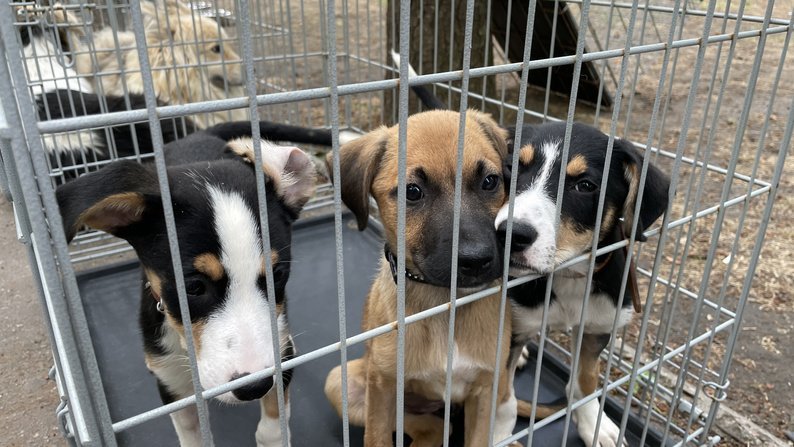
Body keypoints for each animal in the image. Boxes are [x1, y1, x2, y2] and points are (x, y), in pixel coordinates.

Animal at [56, 123, 322, 446]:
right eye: (193, 287)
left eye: (277, 274)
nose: (254, 386)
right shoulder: (169, 379)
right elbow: (192, 433)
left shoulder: (281, 354)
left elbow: (273, 423)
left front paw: (272, 435)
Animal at [323, 109, 523, 446]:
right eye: (412, 192)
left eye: (490, 181)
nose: (476, 260)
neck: (444, 303)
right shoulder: (382, 387)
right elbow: (377, 438)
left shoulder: (485, 389)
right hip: (342, 381)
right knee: (427, 428)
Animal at [497, 122, 670, 447]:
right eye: (511, 168)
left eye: (586, 186)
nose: (510, 234)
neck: (568, 275)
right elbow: (500, 392)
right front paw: (496, 432)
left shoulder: (597, 328)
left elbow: (586, 380)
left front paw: (595, 425)